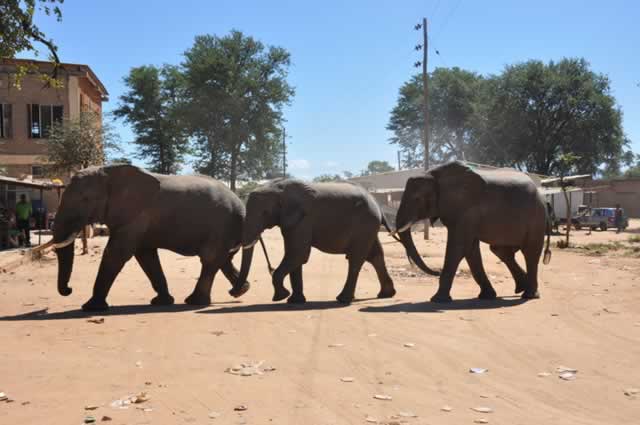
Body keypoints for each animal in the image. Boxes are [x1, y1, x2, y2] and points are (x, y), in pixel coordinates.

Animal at [52, 165, 250, 311]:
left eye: (85, 199)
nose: (69, 290)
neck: (109, 172)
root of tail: (240, 201)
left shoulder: (137, 216)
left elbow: (116, 253)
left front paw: (90, 307)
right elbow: (146, 256)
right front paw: (161, 302)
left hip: (222, 226)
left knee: (210, 258)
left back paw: (195, 301)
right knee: (222, 259)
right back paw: (239, 291)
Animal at [233, 179, 397, 304]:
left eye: (265, 213)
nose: (234, 292)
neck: (278, 188)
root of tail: (376, 203)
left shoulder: (303, 220)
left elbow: (298, 254)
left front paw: (281, 297)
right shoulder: (292, 222)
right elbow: (295, 256)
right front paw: (295, 301)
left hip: (365, 224)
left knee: (356, 259)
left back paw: (343, 299)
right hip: (369, 227)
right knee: (375, 255)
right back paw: (386, 294)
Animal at [394, 161, 551, 303]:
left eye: (417, 199)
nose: (436, 272)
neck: (434, 175)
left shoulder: (466, 210)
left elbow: (458, 248)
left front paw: (437, 300)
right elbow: (470, 250)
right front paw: (487, 296)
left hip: (536, 217)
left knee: (530, 252)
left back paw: (529, 295)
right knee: (500, 250)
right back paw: (521, 288)